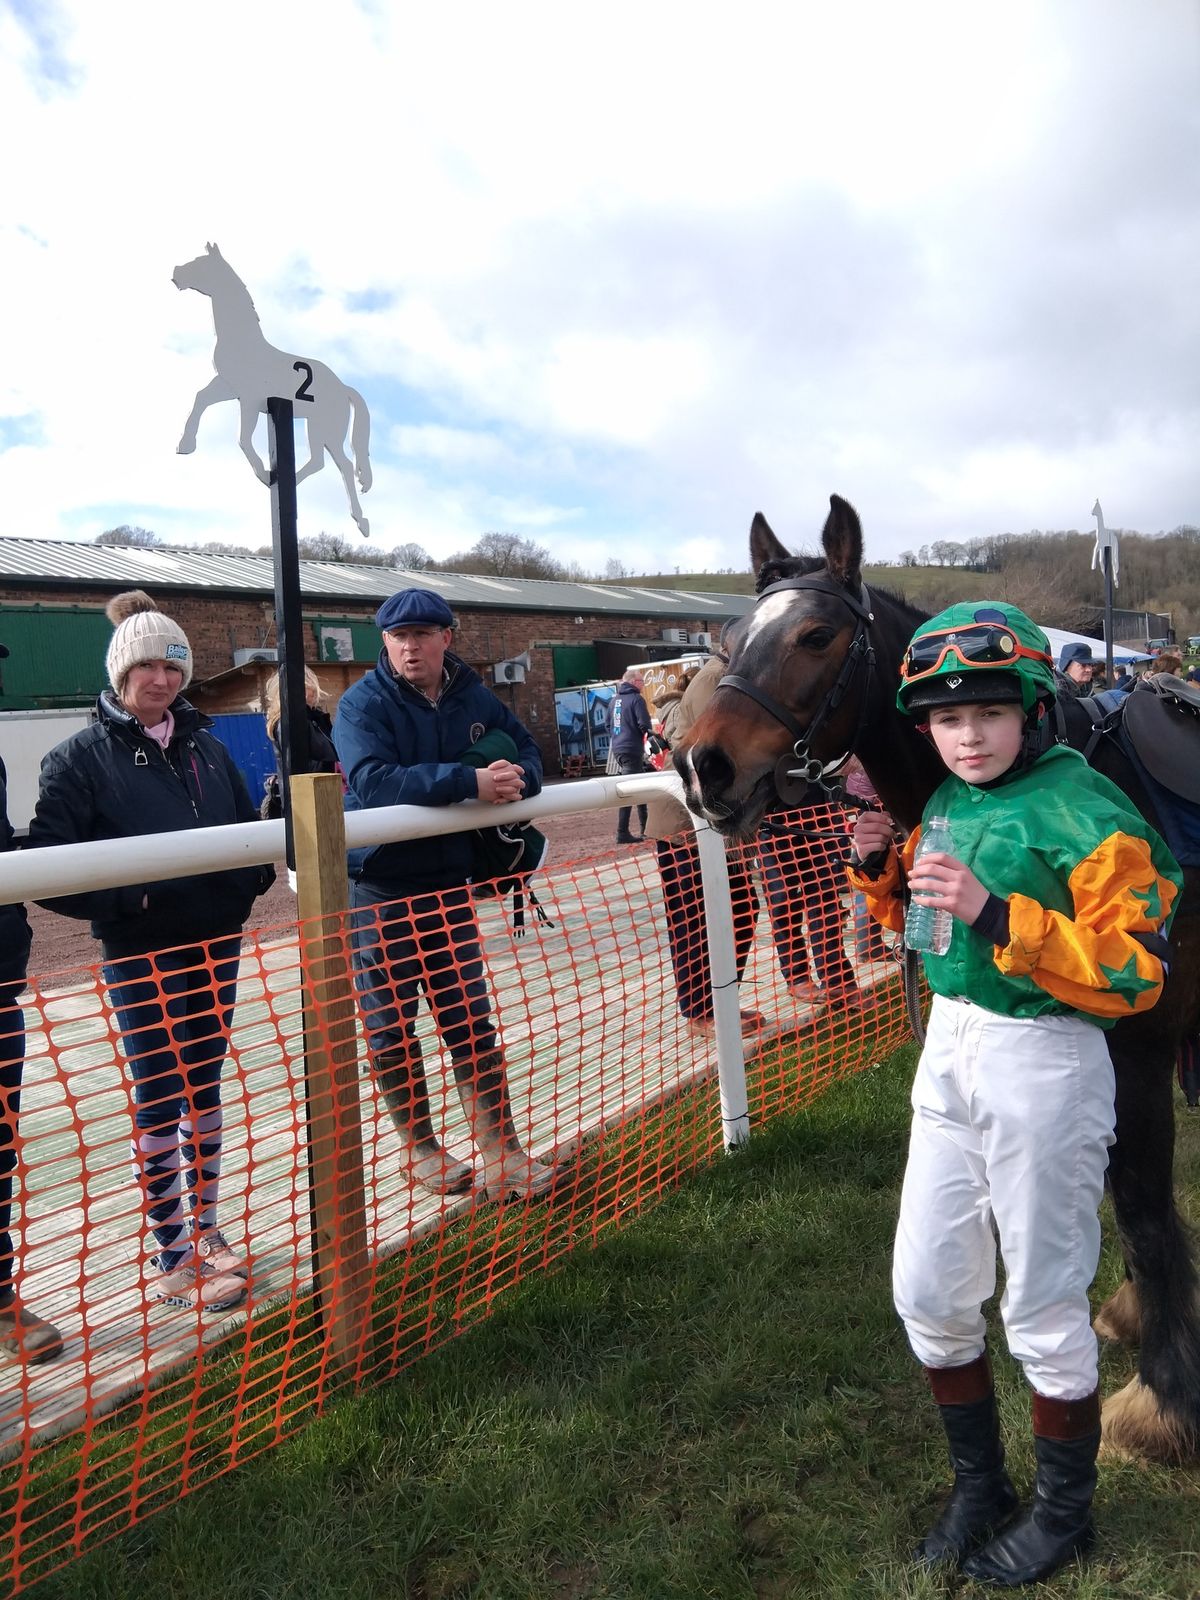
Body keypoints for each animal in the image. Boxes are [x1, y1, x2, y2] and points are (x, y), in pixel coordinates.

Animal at [171, 240, 374, 534]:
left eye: (201, 263)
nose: (176, 272)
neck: (243, 340)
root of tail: (343, 387)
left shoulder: (249, 399)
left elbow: (243, 438)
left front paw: (264, 473)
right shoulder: (228, 387)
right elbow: (200, 399)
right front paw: (185, 445)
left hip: (328, 429)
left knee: (344, 466)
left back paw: (358, 519)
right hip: (315, 427)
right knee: (321, 461)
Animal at [681, 489, 1200, 1465]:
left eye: (815, 635)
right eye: (728, 640)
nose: (702, 765)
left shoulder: (1144, 1050)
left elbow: (1146, 1213)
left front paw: (1164, 1403)